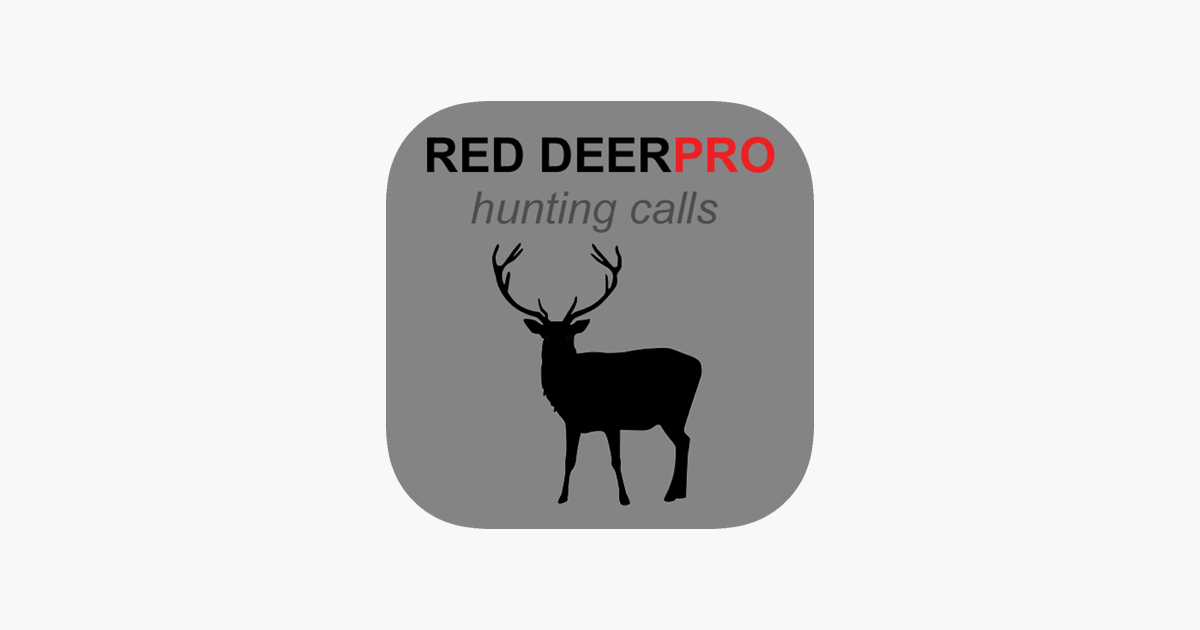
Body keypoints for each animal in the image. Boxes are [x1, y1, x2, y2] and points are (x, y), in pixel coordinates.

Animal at [491, 243, 702, 505]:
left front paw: (625, 498)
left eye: (570, 335)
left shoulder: (612, 418)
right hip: (674, 414)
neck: (573, 393)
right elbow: (569, 460)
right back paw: (678, 493)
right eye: (545, 335)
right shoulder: (572, 421)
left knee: (683, 441)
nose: (558, 356)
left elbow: (616, 461)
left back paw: (671, 494)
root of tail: (699, 363)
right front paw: (562, 497)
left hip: (674, 411)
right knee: (684, 440)